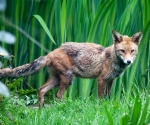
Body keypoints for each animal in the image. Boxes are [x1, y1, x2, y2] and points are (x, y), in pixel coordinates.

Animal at [0, 30, 143, 107]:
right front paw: (101, 107)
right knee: (58, 94)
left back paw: (41, 109)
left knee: (41, 90)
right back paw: (66, 105)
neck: (112, 59)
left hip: (57, 79)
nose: (129, 61)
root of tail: (50, 53)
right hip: (68, 79)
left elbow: (107, 97)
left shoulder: (111, 80)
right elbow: (100, 97)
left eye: (132, 51)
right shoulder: (101, 80)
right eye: (122, 51)